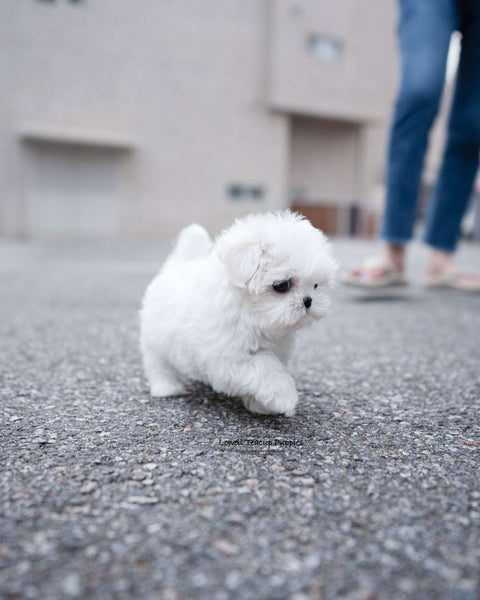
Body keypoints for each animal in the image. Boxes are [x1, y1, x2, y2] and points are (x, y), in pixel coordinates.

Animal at [139, 212, 338, 418]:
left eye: (315, 285)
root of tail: (178, 263)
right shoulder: (226, 360)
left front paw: (261, 405)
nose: (308, 301)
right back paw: (167, 388)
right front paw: (284, 395)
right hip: (153, 340)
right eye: (282, 285)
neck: (253, 317)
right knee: (157, 365)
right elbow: (264, 368)